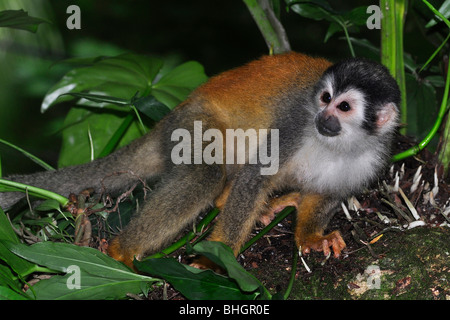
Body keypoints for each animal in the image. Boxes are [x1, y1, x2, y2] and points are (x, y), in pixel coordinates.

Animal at [0, 52, 400, 270]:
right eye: (324, 98)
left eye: (343, 107)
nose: (323, 117)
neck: (339, 144)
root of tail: (166, 119)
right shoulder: (293, 127)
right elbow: (256, 176)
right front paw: (216, 259)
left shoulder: (372, 158)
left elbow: (327, 196)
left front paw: (311, 236)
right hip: (190, 126)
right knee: (206, 173)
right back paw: (122, 249)